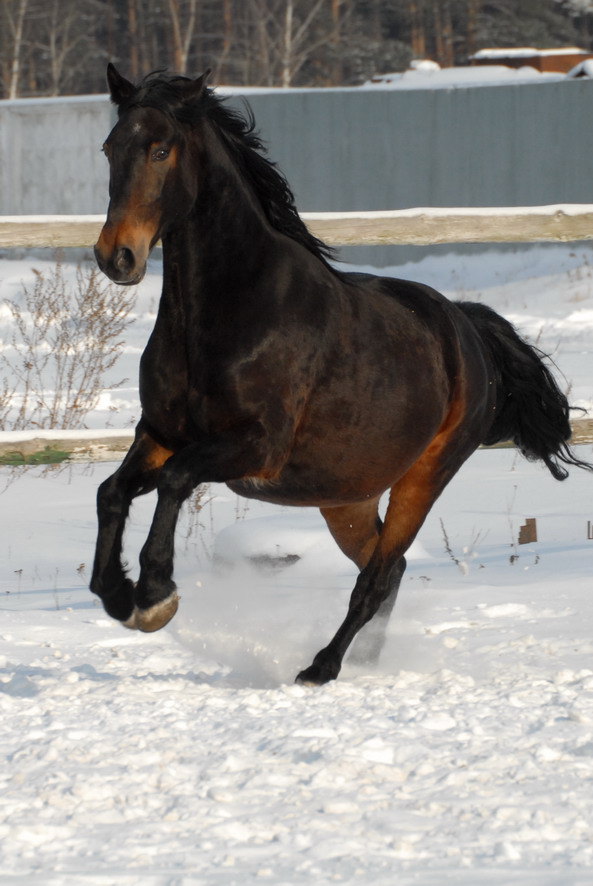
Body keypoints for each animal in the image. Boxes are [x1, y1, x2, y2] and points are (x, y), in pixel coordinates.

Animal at [90, 64, 588, 688]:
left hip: (423, 477)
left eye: (161, 149)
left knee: (376, 576)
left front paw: (155, 595)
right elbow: (112, 491)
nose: (117, 257)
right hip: (345, 499)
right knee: (388, 568)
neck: (225, 316)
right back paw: (366, 660)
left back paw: (322, 666)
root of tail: (466, 329)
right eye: (110, 147)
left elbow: (176, 481)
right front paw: (116, 594)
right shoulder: (159, 433)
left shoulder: (256, 447)